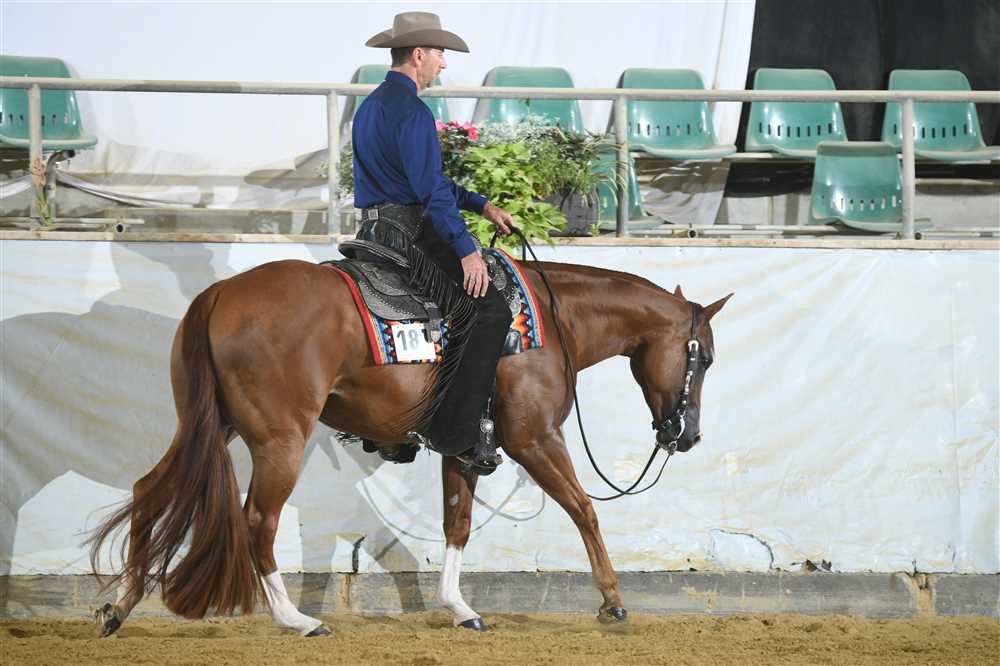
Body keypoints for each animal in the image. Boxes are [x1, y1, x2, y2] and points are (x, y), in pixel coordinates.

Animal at [89, 255, 732, 636]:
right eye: (703, 357)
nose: (689, 435)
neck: (552, 321)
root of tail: (221, 293)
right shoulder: (534, 439)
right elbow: (583, 509)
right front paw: (612, 600)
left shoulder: (464, 448)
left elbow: (457, 523)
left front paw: (460, 607)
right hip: (280, 439)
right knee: (257, 520)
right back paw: (296, 619)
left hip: (208, 423)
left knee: (150, 489)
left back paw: (119, 605)